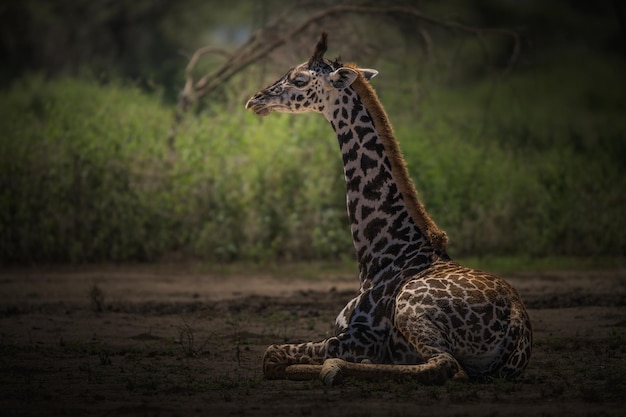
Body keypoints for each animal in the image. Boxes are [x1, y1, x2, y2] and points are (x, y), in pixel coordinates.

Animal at [243, 30, 528, 386]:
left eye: (298, 79)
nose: (255, 99)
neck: (382, 253)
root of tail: (516, 328)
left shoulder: (361, 336)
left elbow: (271, 355)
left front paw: (329, 366)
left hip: (411, 310)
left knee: (446, 365)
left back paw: (334, 369)